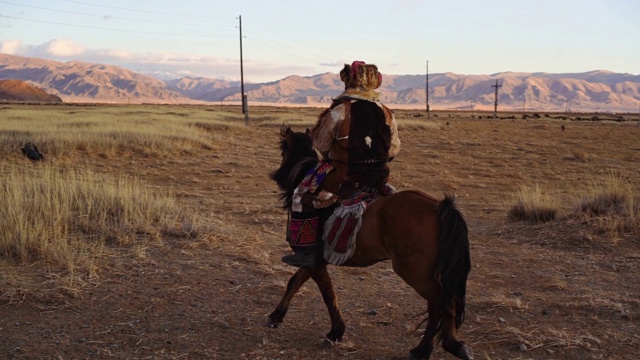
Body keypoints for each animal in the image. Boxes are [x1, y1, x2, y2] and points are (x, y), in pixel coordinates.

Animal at [268, 127, 472, 360]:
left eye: (283, 150)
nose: (278, 176)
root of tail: (440, 207)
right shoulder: (317, 260)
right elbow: (306, 285)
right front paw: (282, 317)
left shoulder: (313, 260)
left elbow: (320, 291)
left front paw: (332, 331)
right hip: (427, 274)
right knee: (439, 305)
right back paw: (433, 348)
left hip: (416, 272)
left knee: (442, 305)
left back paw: (440, 347)